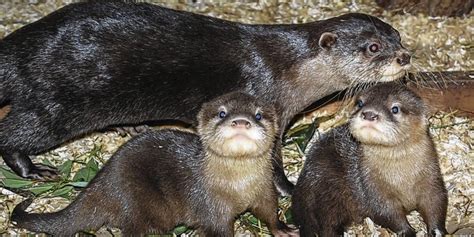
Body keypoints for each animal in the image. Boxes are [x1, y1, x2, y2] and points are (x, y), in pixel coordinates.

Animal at [0, 0, 412, 194]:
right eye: (373, 47)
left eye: (397, 37)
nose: (404, 57)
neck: (285, 69)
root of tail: (24, 47)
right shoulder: (264, 103)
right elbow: (271, 161)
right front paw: (288, 188)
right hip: (58, 102)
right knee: (15, 132)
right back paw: (33, 170)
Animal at [11, 91, 296, 236]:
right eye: (222, 113)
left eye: (258, 115)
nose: (241, 122)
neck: (237, 187)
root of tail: (100, 185)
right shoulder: (210, 207)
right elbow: (218, 230)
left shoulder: (264, 191)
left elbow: (269, 213)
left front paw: (283, 229)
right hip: (138, 199)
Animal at [292, 82, 448, 237]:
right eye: (360, 103)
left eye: (395, 108)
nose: (369, 114)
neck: (401, 178)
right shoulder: (371, 186)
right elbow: (386, 211)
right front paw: (407, 232)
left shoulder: (431, 177)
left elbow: (435, 202)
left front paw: (437, 231)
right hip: (326, 191)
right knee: (327, 224)